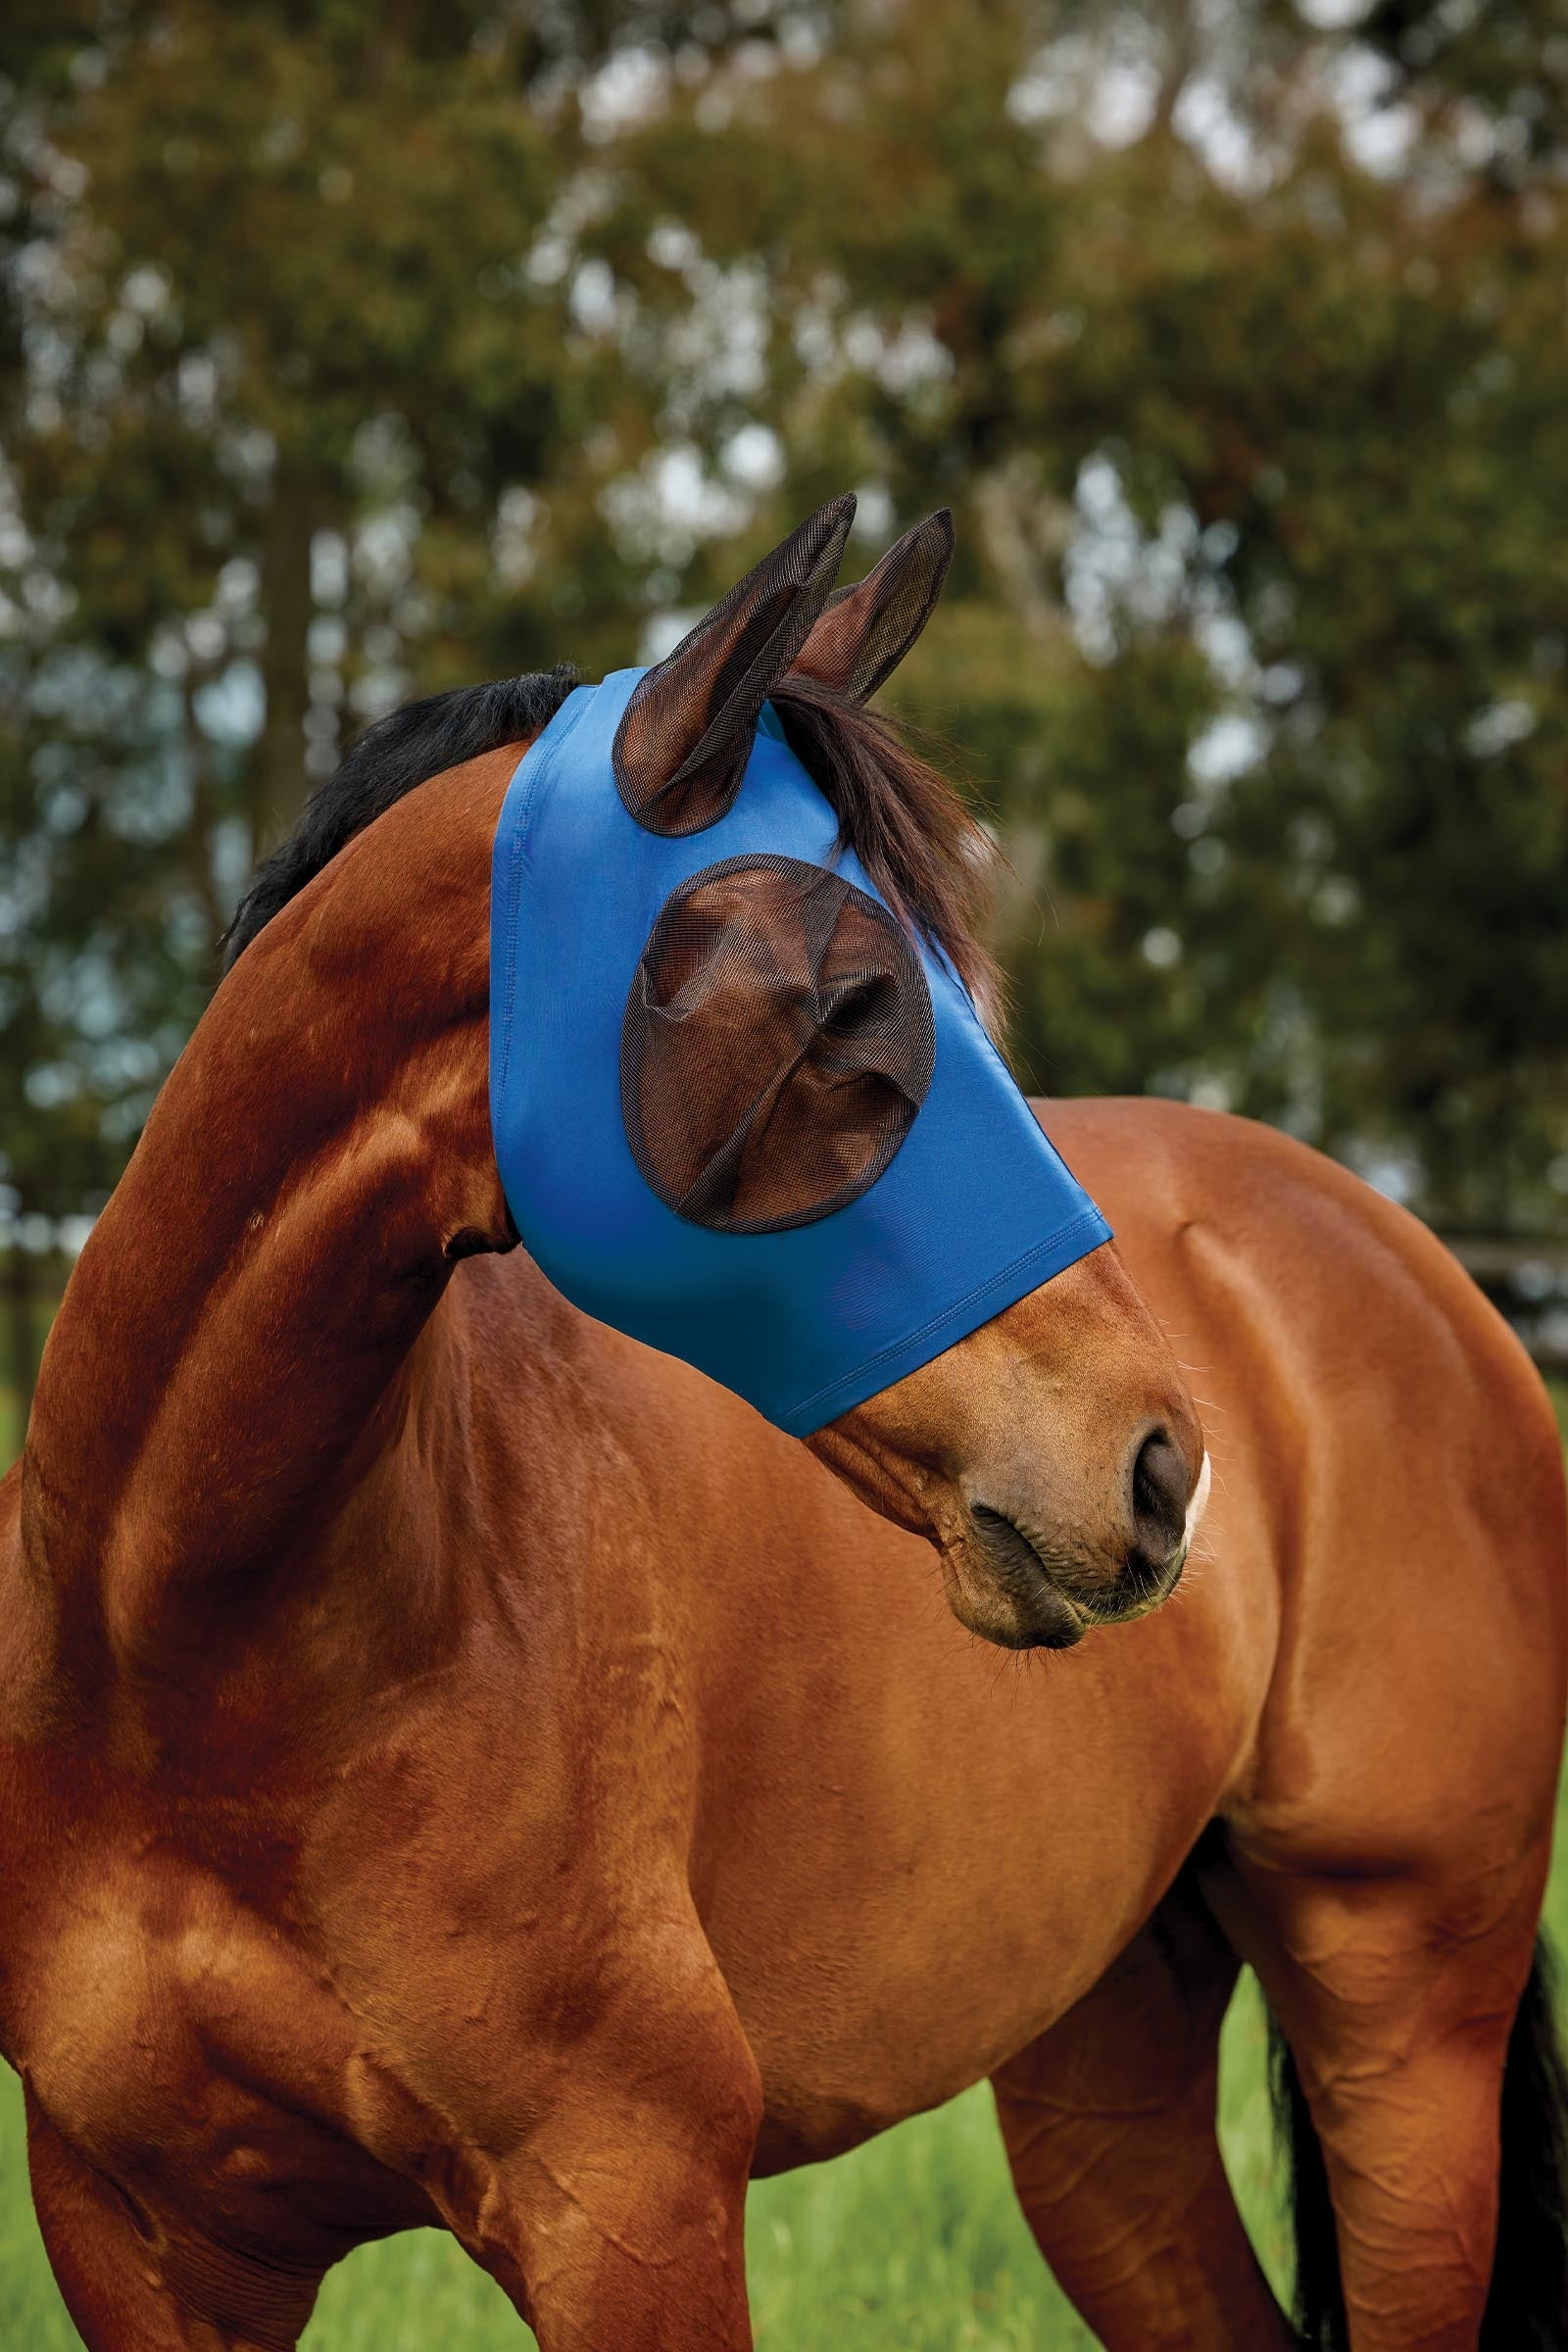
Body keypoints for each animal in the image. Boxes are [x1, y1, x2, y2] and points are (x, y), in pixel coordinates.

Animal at [0, 509, 1563, 2352]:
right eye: (842, 1004)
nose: (1164, 1469)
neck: (195, 1669)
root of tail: (1417, 1267)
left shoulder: (635, 2206)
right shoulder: (139, 2240)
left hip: (1403, 2035)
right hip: (1105, 2084)